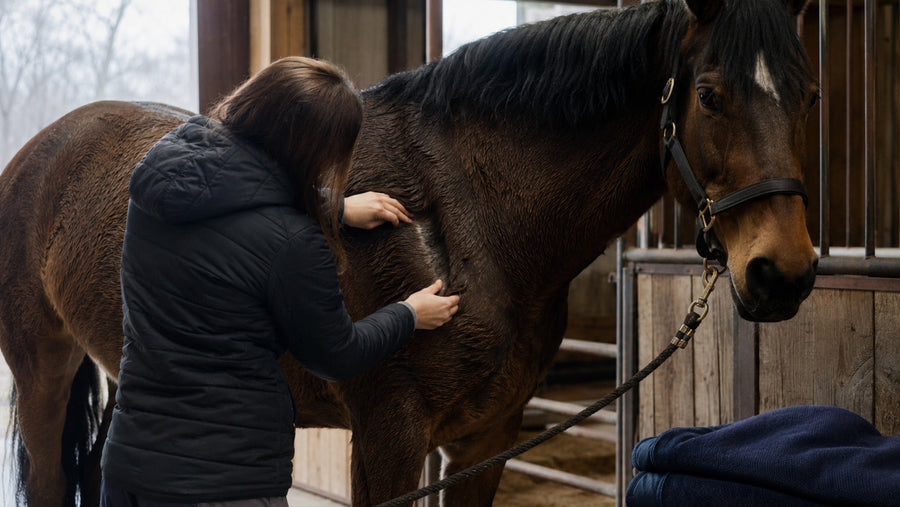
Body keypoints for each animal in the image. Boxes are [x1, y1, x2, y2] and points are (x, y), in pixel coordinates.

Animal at [0, 0, 819, 504]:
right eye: (709, 95)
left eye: (810, 96)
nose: (783, 273)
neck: (469, 223)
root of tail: (40, 151)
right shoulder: (389, 439)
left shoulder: (485, 440)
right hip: (43, 372)